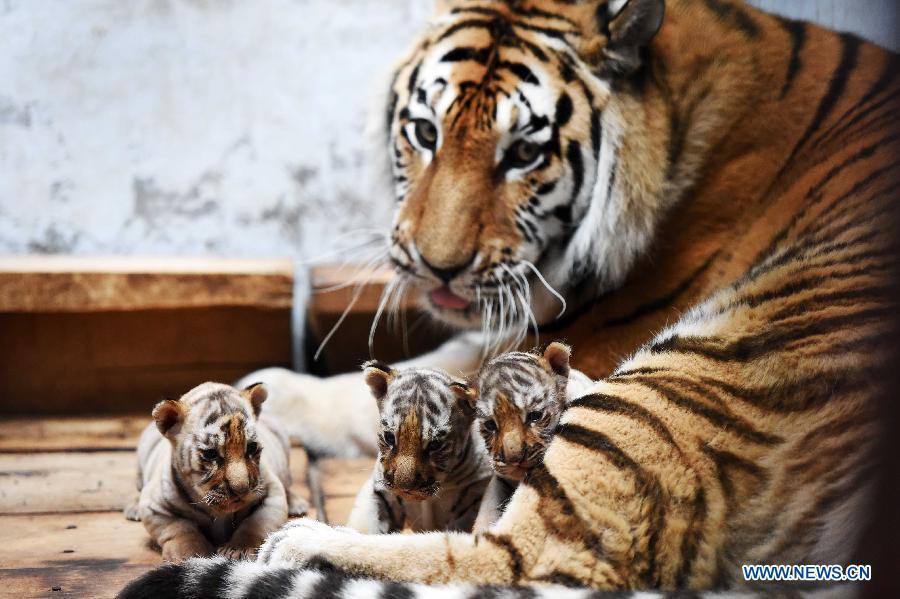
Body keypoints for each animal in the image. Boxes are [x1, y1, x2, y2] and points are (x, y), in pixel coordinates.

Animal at [121, 0, 900, 596]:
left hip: (672, 384)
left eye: (523, 153)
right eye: (424, 132)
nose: (437, 268)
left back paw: (304, 541)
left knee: (503, 558)